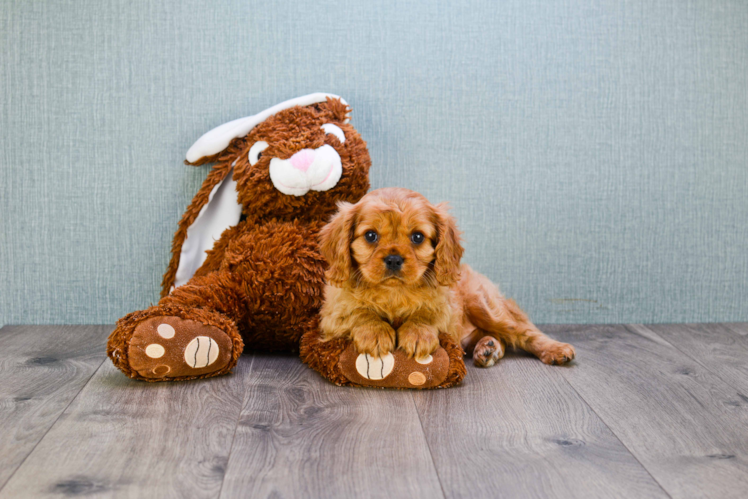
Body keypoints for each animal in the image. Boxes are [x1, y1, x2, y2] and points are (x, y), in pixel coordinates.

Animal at [318, 188, 576, 368]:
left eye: (417, 237)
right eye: (370, 236)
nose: (393, 259)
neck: (394, 292)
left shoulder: (446, 306)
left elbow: (426, 312)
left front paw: (418, 333)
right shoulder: (333, 313)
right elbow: (359, 311)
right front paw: (375, 332)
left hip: (485, 305)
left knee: (524, 331)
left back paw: (555, 349)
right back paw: (488, 348)